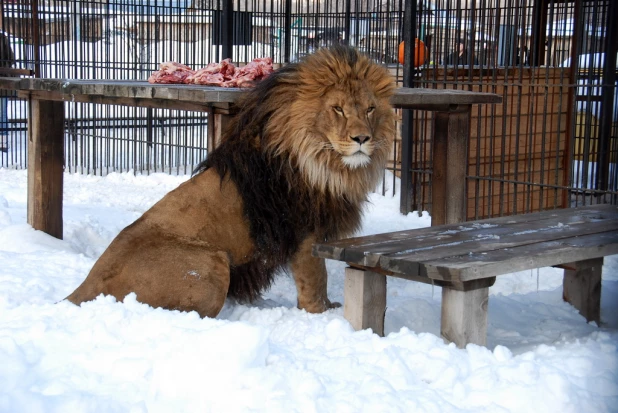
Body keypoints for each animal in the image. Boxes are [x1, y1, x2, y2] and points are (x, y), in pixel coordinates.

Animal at [66, 45, 394, 316]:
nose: (362, 138)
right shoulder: (305, 235)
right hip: (213, 265)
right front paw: (320, 315)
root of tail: (83, 286)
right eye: (337, 109)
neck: (325, 164)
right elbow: (316, 280)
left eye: (370, 109)